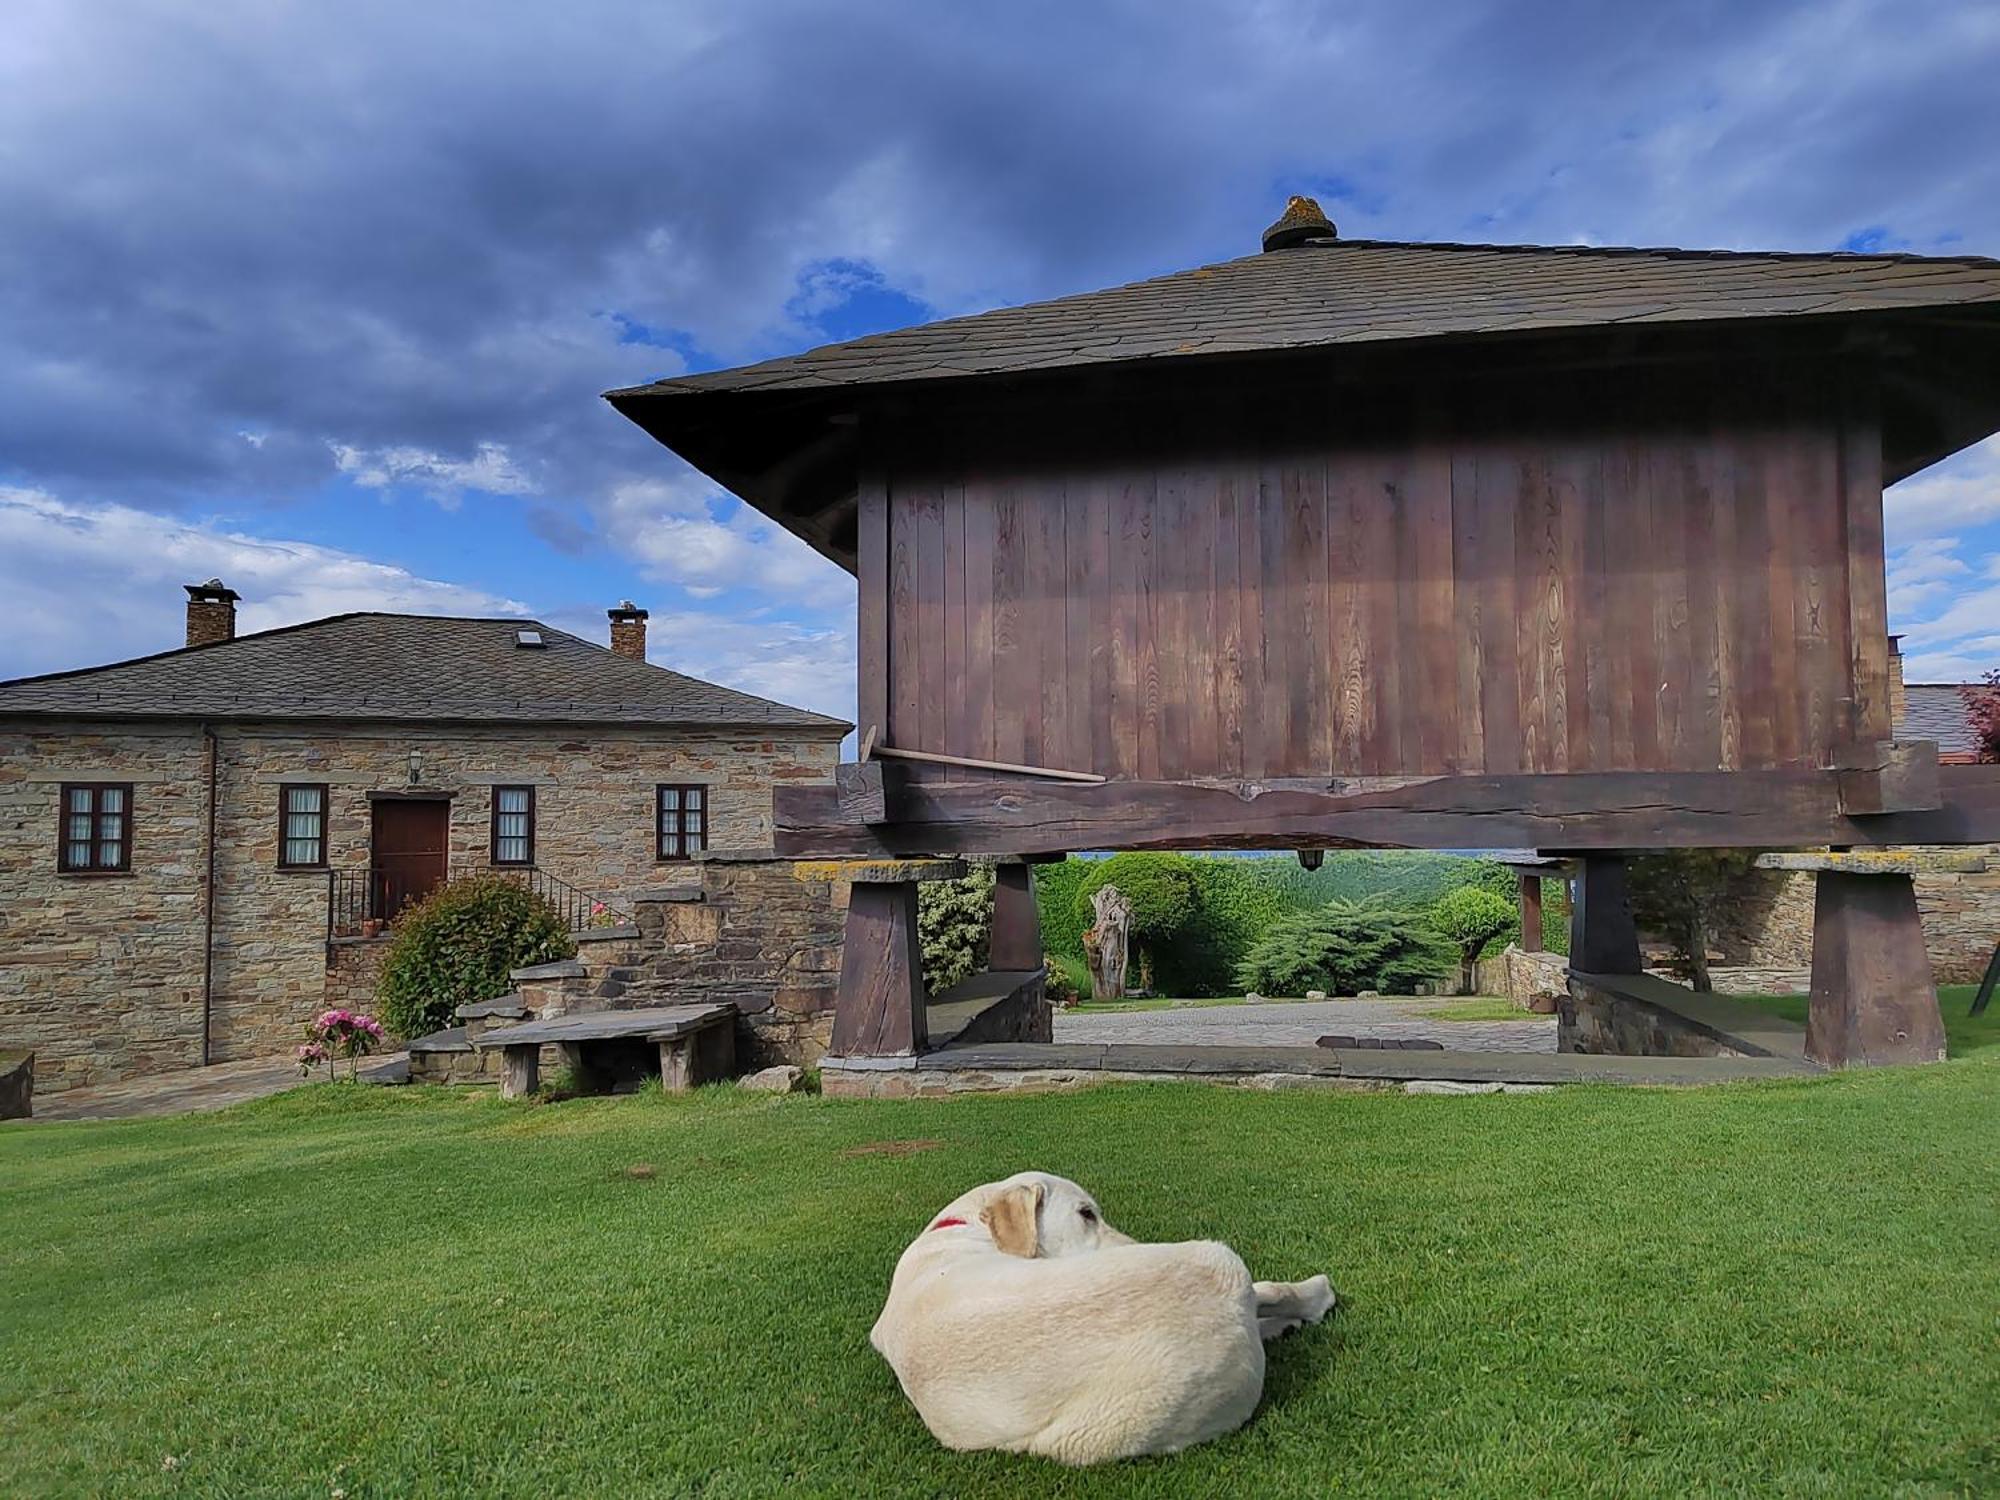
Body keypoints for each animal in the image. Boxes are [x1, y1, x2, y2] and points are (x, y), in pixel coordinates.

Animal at [868, 1176, 1336, 1472]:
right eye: (1086, 1213)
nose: (1135, 1244)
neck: (960, 1227)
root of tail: (1226, 1306)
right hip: (1220, 1260)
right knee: (1270, 1292)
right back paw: (1313, 1298)